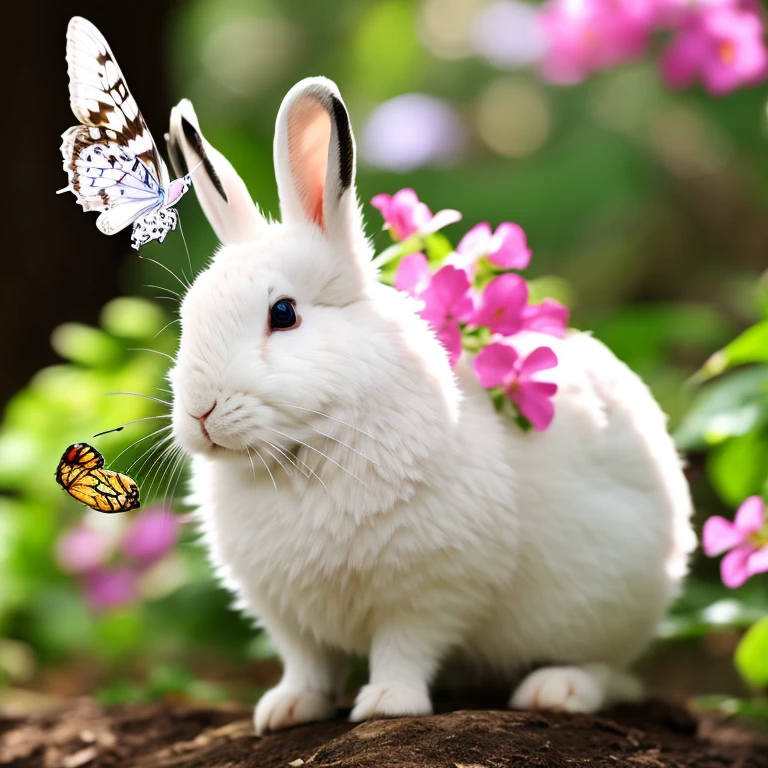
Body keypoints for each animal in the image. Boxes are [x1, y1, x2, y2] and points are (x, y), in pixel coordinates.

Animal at [166, 79, 696, 736]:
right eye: (187, 315)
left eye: (283, 313)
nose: (199, 413)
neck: (305, 451)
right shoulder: (288, 612)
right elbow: (308, 663)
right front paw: (285, 709)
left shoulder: (429, 589)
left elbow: (405, 648)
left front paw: (387, 703)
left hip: (605, 605)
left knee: (611, 673)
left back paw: (556, 689)